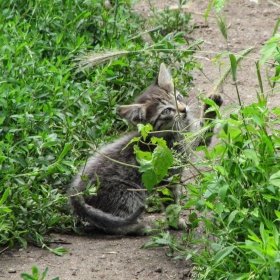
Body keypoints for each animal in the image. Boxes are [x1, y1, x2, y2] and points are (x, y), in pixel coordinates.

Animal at [69, 63, 222, 234]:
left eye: (178, 97)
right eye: (167, 110)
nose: (183, 110)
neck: (176, 129)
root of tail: (76, 193)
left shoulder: (194, 139)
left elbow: (205, 130)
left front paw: (211, 106)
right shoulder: (166, 177)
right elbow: (171, 203)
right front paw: (175, 222)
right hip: (127, 195)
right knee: (117, 226)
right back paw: (141, 227)